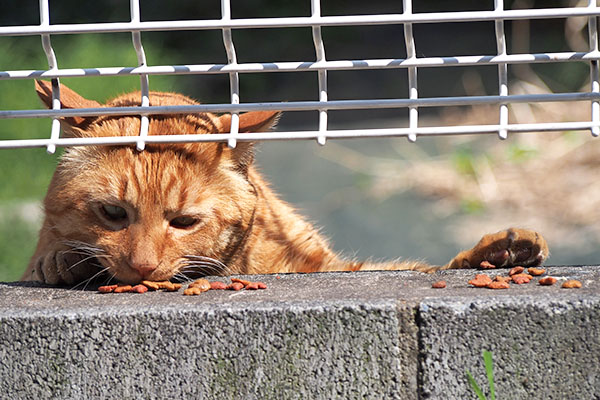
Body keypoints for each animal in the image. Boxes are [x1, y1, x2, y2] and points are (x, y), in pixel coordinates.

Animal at [22, 80, 548, 284]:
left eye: (185, 222)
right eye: (113, 214)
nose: (143, 266)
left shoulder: (330, 268)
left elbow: (425, 266)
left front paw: (498, 252)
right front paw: (65, 260)